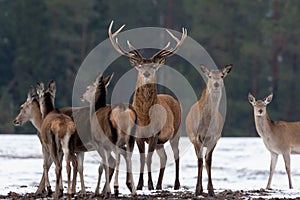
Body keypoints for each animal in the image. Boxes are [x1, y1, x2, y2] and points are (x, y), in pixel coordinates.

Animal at [109, 20, 186, 191]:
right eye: (140, 67)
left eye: (153, 67)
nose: (146, 73)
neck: (145, 117)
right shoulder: (138, 134)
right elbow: (143, 159)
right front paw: (139, 185)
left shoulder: (154, 134)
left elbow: (149, 159)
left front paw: (148, 185)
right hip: (160, 143)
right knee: (164, 157)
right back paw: (159, 185)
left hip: (176, 131)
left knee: (176, 155)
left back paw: (176, 184)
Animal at [186, 64, 233, 197]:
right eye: (210, 76)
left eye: (222, 76)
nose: (216, 84)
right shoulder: (196, 138)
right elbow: (200, 161)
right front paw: (197, 190)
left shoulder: (215, 138)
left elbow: (209, 161)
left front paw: (211, 190)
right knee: (200, 160)